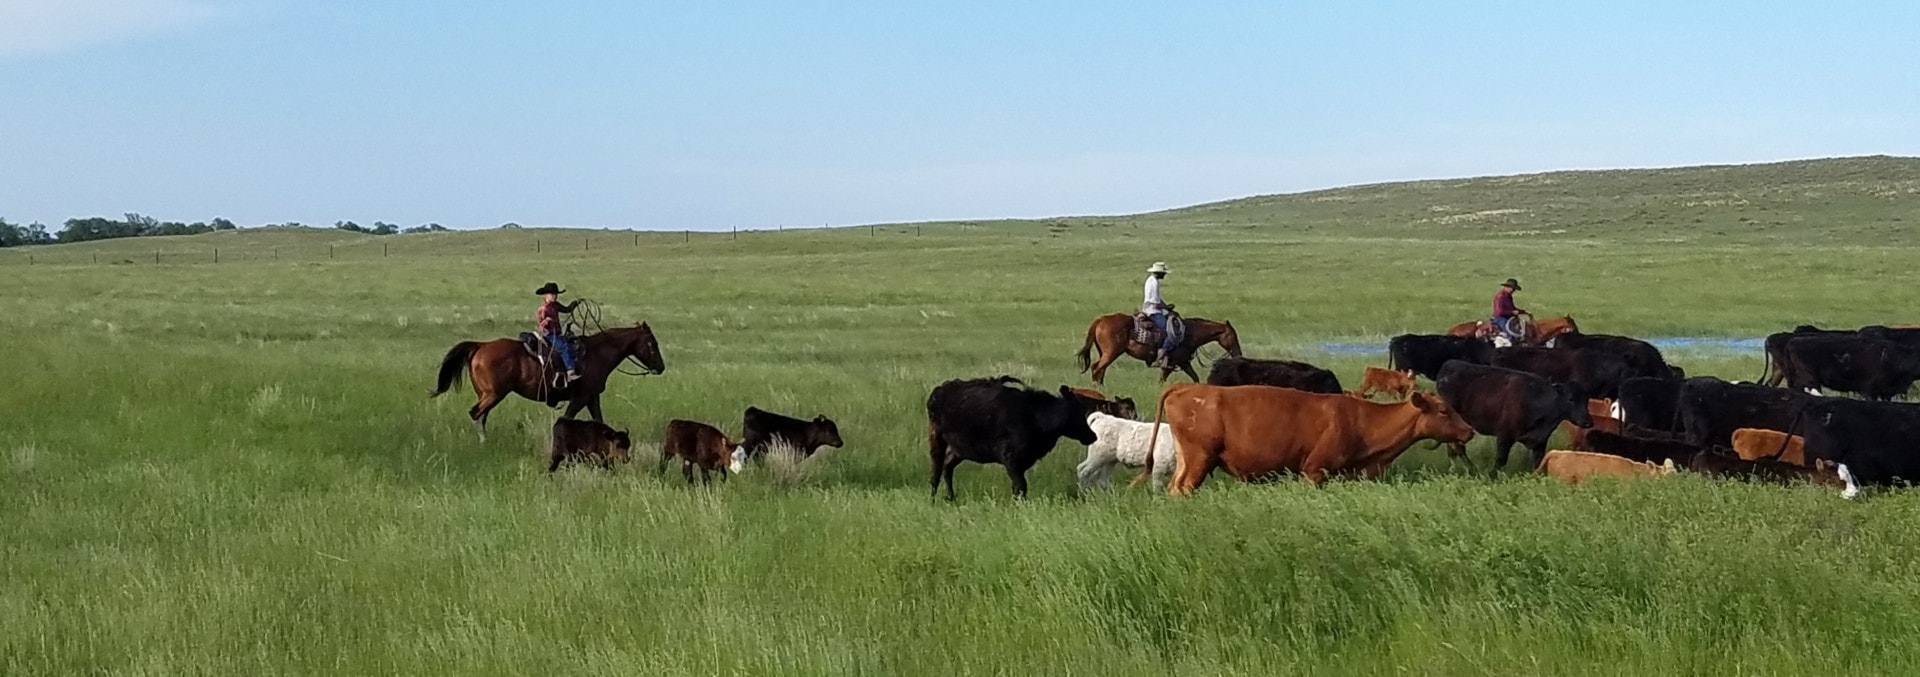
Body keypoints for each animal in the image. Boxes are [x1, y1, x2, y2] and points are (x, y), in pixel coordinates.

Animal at [430, 323, 665, 439]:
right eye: (652, 343)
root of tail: (480, 346)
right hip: (493, 394)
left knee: (481, 416)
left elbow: (599, 420)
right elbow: (566, 420)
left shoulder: (592, 398)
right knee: (476, 414)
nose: (661, 367)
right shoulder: (580, 398)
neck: (596, 354)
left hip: (487, 395)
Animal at [926, 376, 1097, 500]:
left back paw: (951, 498)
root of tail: (939, 390)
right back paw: (933, 500)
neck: (1037, 417)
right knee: (936, 471)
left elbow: (1017, 487)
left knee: (947, 467)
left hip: (958, 449)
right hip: (936, 438)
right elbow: (1021, 486)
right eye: (1079, 412)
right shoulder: (1010, 458)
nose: (1093, 436)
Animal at [1077, 314, 1243, 385]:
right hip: (1111, 353)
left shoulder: (1184, 363)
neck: (1189, 333)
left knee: (1101, 369)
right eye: (1233, 335)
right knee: (1096, 368)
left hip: (1106, 353)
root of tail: (1100, 320)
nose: (1238, 353)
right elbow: (1162, 379)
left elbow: (1195, 378)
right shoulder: (1170, 363)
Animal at [1434, 361, 1592, 471]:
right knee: (1458, 447)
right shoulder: (1504, 436)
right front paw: (1491, 476)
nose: (1588, 422)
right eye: (1570, 399)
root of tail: (1449, 365)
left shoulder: (1540, 441)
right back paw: (1471, 469)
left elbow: (1538, 462)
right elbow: (1500, 460)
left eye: (1586, 400)